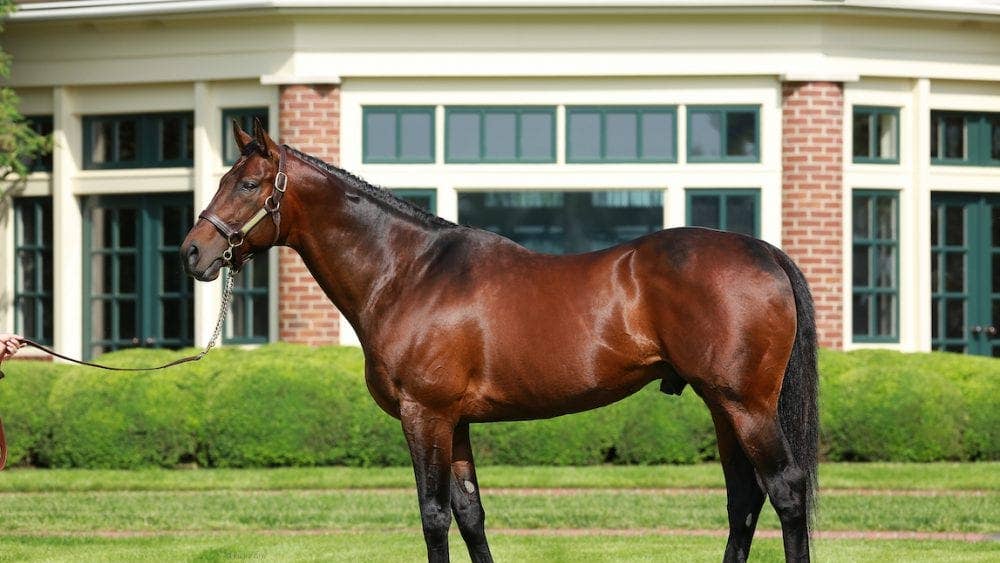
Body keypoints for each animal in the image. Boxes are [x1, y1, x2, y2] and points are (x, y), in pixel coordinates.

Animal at [181, 119, 819, 563]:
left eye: (249, 183)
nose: (192, 252)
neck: (409, 272)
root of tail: (765, 251)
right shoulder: (456, 421)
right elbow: (470, 514)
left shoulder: (425, 415)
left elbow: (433, 515)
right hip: (722, 405)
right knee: (744, 499)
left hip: (746, 405)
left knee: (784, 491)